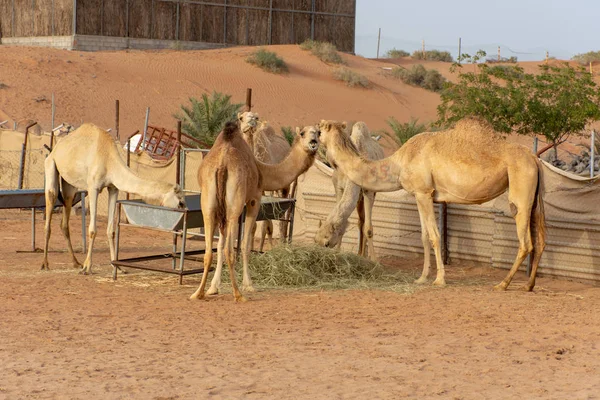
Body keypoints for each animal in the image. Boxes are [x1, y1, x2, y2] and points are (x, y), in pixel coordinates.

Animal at [41, 124, 185, 276]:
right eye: (181, 202)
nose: (182, 225)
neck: (109, 160)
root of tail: (55, 149)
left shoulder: (113, 188)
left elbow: (111, 230)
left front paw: (118, 267)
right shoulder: (93, 188)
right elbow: (92, 230)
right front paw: (87, 267)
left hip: (70, 185)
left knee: (65, 220)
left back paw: (75, 263)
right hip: (51, 165)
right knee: (50, 204)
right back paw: (45, 264)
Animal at [239, 111, 296, 248]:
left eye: (256, 117)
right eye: (241, 118)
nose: (251, 121)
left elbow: (265, 222)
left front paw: (259, 250)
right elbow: (253, 223)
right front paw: (250, 248)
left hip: (284, 186)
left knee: (282, 216)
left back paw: (281, 243)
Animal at [314, 121, 384, 262]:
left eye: (327, 243)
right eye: (315, 240)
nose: (321, 252)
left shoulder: (368, 191)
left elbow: (369, 229)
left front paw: (374, 261)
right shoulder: (339, 187)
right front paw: (338, 253)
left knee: (364, 222)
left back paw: (363, 254)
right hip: (358, 198)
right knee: (360, 222)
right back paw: (360, 253)